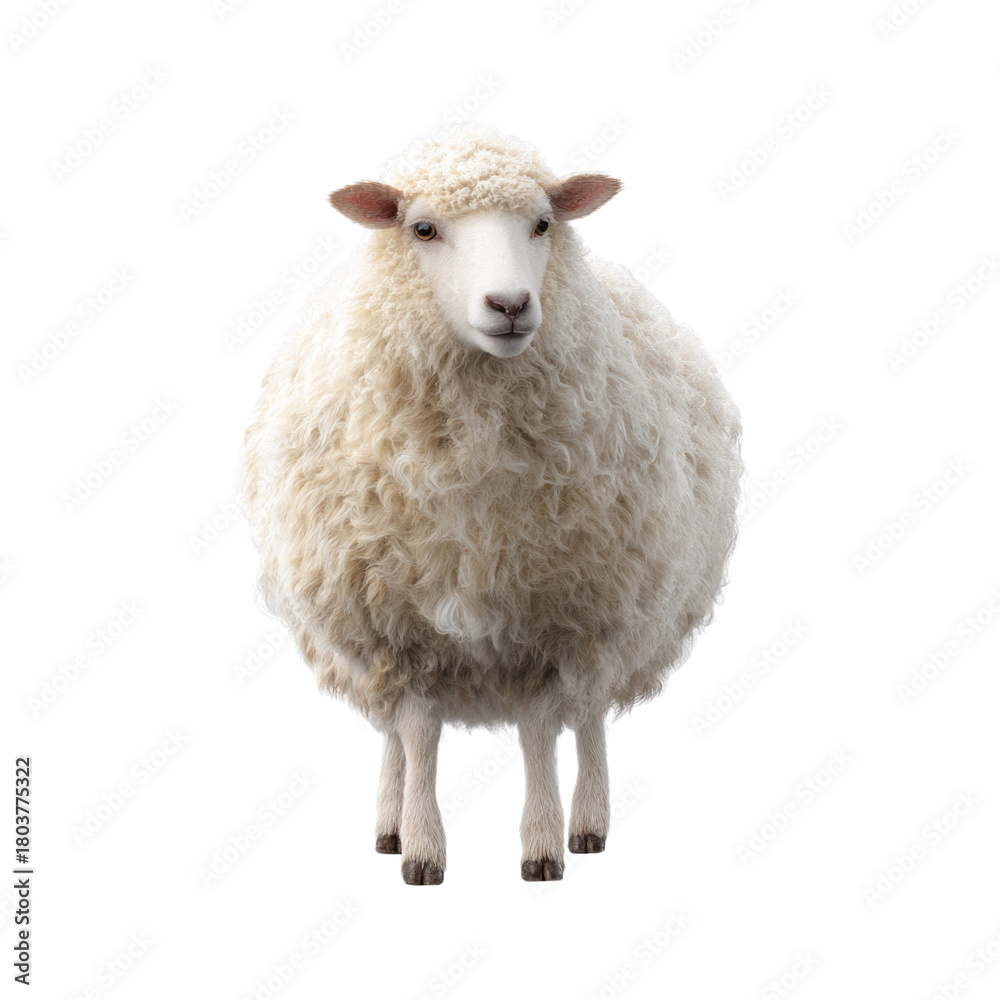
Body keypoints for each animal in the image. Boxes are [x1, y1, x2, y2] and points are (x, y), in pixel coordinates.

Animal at [239, 123, 742, 884]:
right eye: (421, 229)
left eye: (543, 223)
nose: (509, 305)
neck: (472, 453)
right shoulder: (396, 623)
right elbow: (418, 732)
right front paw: (420, 848)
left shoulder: (552, 612)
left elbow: (539, 732)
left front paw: (542, 845)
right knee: (395, 735)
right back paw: (388, 823)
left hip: (614, 612)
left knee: (588, 717)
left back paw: (588, 824)